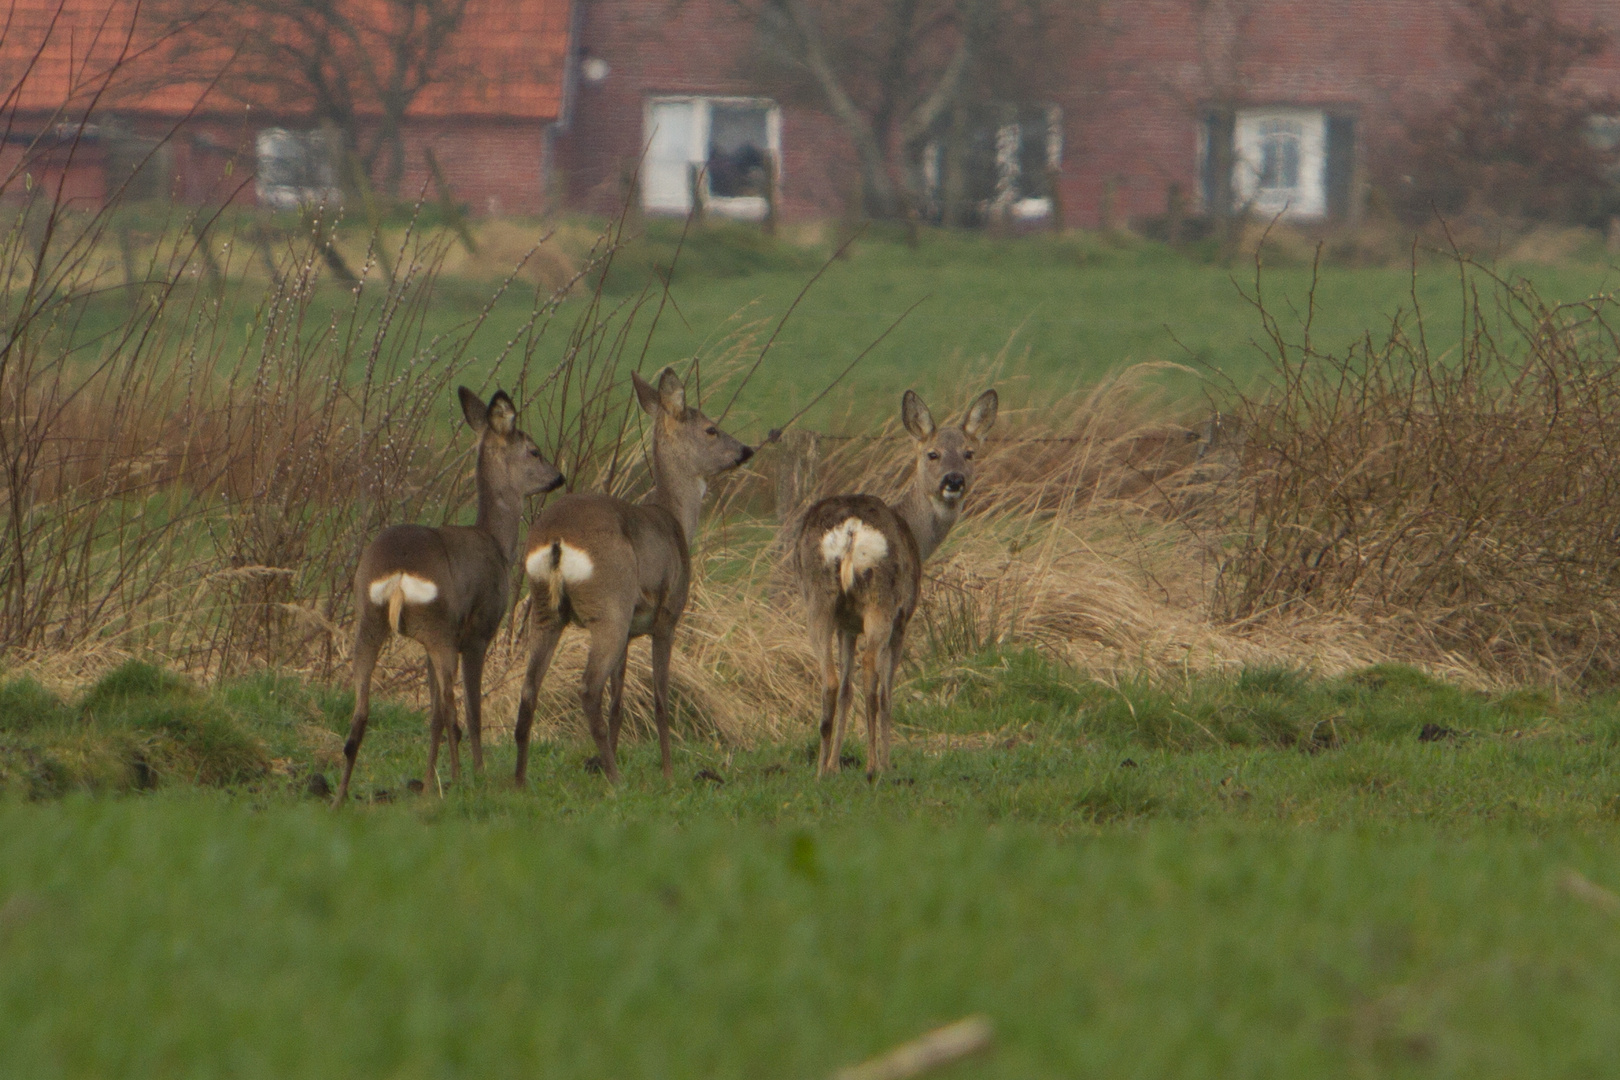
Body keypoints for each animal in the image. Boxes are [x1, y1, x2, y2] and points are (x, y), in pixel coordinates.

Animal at [328, 386, 563, 803]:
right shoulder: (477, 632)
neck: (496, 543)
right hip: (438, 624)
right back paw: (457, 781)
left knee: (361, 711)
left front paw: (426, 781)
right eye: (534, 451)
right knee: (454, 711)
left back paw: (340, 798)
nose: (558, 477)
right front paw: (477, 774)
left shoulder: (426, 644)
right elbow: (470, 711)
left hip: (371, 619)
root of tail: (399, 572)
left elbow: (433, 713)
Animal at [511, 369, 751, 786]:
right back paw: (615, 782)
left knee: (529, 689)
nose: (745, 450)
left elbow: (619, 702)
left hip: (547, 610)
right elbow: (660, 699)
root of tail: (556, 540)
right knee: (588, 689)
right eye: (711, 429)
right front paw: (669, 773)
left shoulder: (630, 633)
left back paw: (523, 781)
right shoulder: (667, 616)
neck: (674, 519)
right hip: (610, 605)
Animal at [790, 386, 991, 777]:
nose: (954, 481)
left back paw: (821, 771)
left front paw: (835, 765)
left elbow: (847, 688)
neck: (915, 532)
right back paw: (873, 769)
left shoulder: (847, 624)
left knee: (831, 680)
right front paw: (885, 761)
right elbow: (887, 691)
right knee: (872, 678)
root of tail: (852, 529)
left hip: (818, 598)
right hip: (881, 598)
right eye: (932, 453)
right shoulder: (903, 617)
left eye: (969, 452)